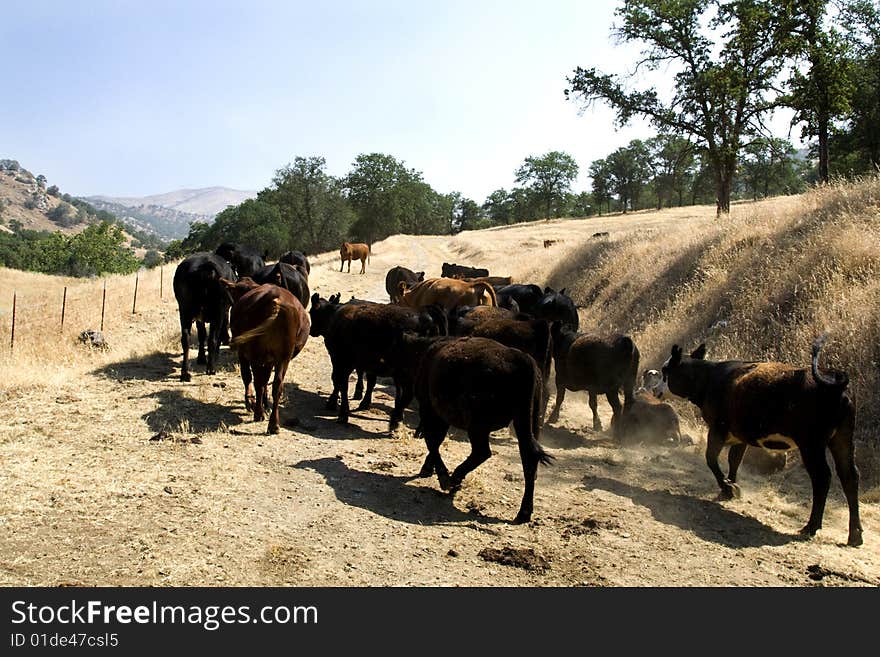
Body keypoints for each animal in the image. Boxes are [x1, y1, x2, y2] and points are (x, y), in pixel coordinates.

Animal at [170, 254, 234, 382]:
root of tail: (206, 266)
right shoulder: (222, 313)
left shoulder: (199, 318)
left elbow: (201, 334)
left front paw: (201, 358)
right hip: (218, 312)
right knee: (213, 339)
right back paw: (211, 368)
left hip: (184, 311)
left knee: (186, 339)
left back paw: (185, 373)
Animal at [220, 278, 310, 436]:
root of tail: (275, 298)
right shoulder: (270, 360)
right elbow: (266, 379)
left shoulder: (244, 353)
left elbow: (248, 376)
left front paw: (250, 401)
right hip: (283, 357)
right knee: (277, 385)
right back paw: (273, 424)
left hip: (256, 353)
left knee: (257, 382)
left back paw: (259, 413)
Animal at [310, 294, 446, 426]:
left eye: (312, 312)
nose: (311, 331)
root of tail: (425, 311)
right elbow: (368, 381)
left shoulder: (339, 359)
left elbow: (339, 382)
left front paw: (336, 405)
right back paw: (397, 415)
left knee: (408, 393)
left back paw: (395, 417)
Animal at [412, 338, 552, 524]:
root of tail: (521, 359)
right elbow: (436, 441)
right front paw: (429, 468)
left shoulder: (430, 410)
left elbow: (432, 441)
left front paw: (442, 476)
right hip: (527, 423)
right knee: (529, 460)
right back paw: (524, 512)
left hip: (477, 427)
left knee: (481, 452)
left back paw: (455, 477)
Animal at [656, 338, 864, 548]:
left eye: (666, 372)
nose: (655, 390)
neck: (709, 379)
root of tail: (834, 384)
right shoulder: (740, 436)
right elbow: (734, 460)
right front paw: (730, 487)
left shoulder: (717, 429)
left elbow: (711, 458)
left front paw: (727, 487)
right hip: (842, 440)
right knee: (849, 477)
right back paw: (855, 534)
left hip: (811, 445)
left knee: (822, 478)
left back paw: (811, 526)